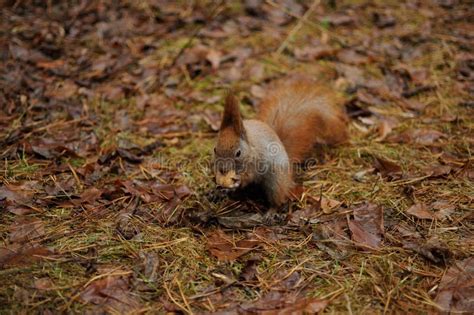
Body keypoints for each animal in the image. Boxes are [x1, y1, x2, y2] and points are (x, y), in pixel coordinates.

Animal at [214, 77, 348, 207]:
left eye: (238, 153)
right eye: (215, 150)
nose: (223, 169)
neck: (250, 147)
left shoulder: (257, 161)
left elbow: (249, 176)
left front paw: (238, 179)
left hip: (276, 181)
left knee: (278, 198)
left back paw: (271, 210)